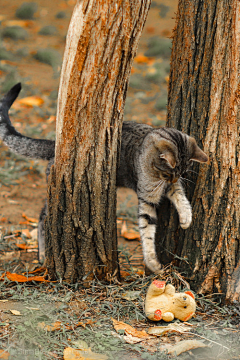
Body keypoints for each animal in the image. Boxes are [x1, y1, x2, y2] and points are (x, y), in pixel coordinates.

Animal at [0, 83, 207, 272]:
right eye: (169, 173)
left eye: (182, 173)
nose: (173, 179)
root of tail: (56, 146)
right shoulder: (147, 198)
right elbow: (147, 231)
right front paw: (153, 263)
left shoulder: (171, 187)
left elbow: (181, 197)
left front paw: (186, 217)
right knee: (43, 218)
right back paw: (43, 254)